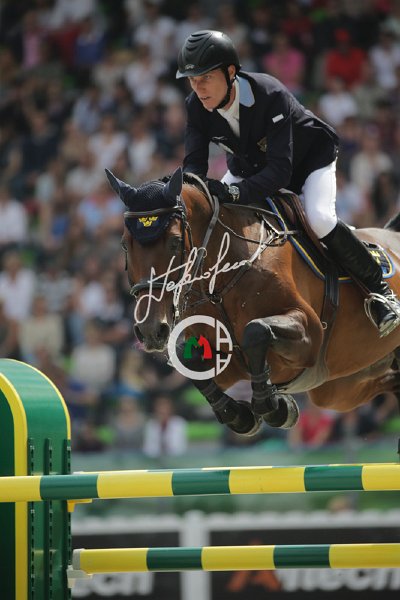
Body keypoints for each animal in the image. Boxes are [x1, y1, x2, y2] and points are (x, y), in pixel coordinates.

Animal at [106, 167, 400, 438]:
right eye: (124, 245)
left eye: (176, 242)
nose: (150, 331)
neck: (221, 281)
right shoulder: (225, 362)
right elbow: (185, 358)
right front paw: (239, 416)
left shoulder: (311, 333)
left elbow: (256, 330)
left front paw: (275, 407)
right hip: (339, 388)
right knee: (386, 381)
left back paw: (386, 309)